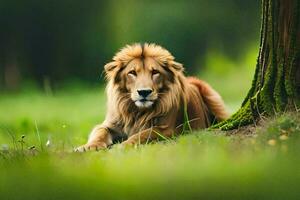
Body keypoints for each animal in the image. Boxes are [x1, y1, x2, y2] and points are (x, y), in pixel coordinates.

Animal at [76, 43, 229, 151]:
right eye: (132, 73)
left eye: (155, 72)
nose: (144, 92)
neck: (137, 112)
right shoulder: (110, 124)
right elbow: (99, 131)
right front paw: (89, 146)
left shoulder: (168, 128)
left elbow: (143, 133)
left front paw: (123, 145)